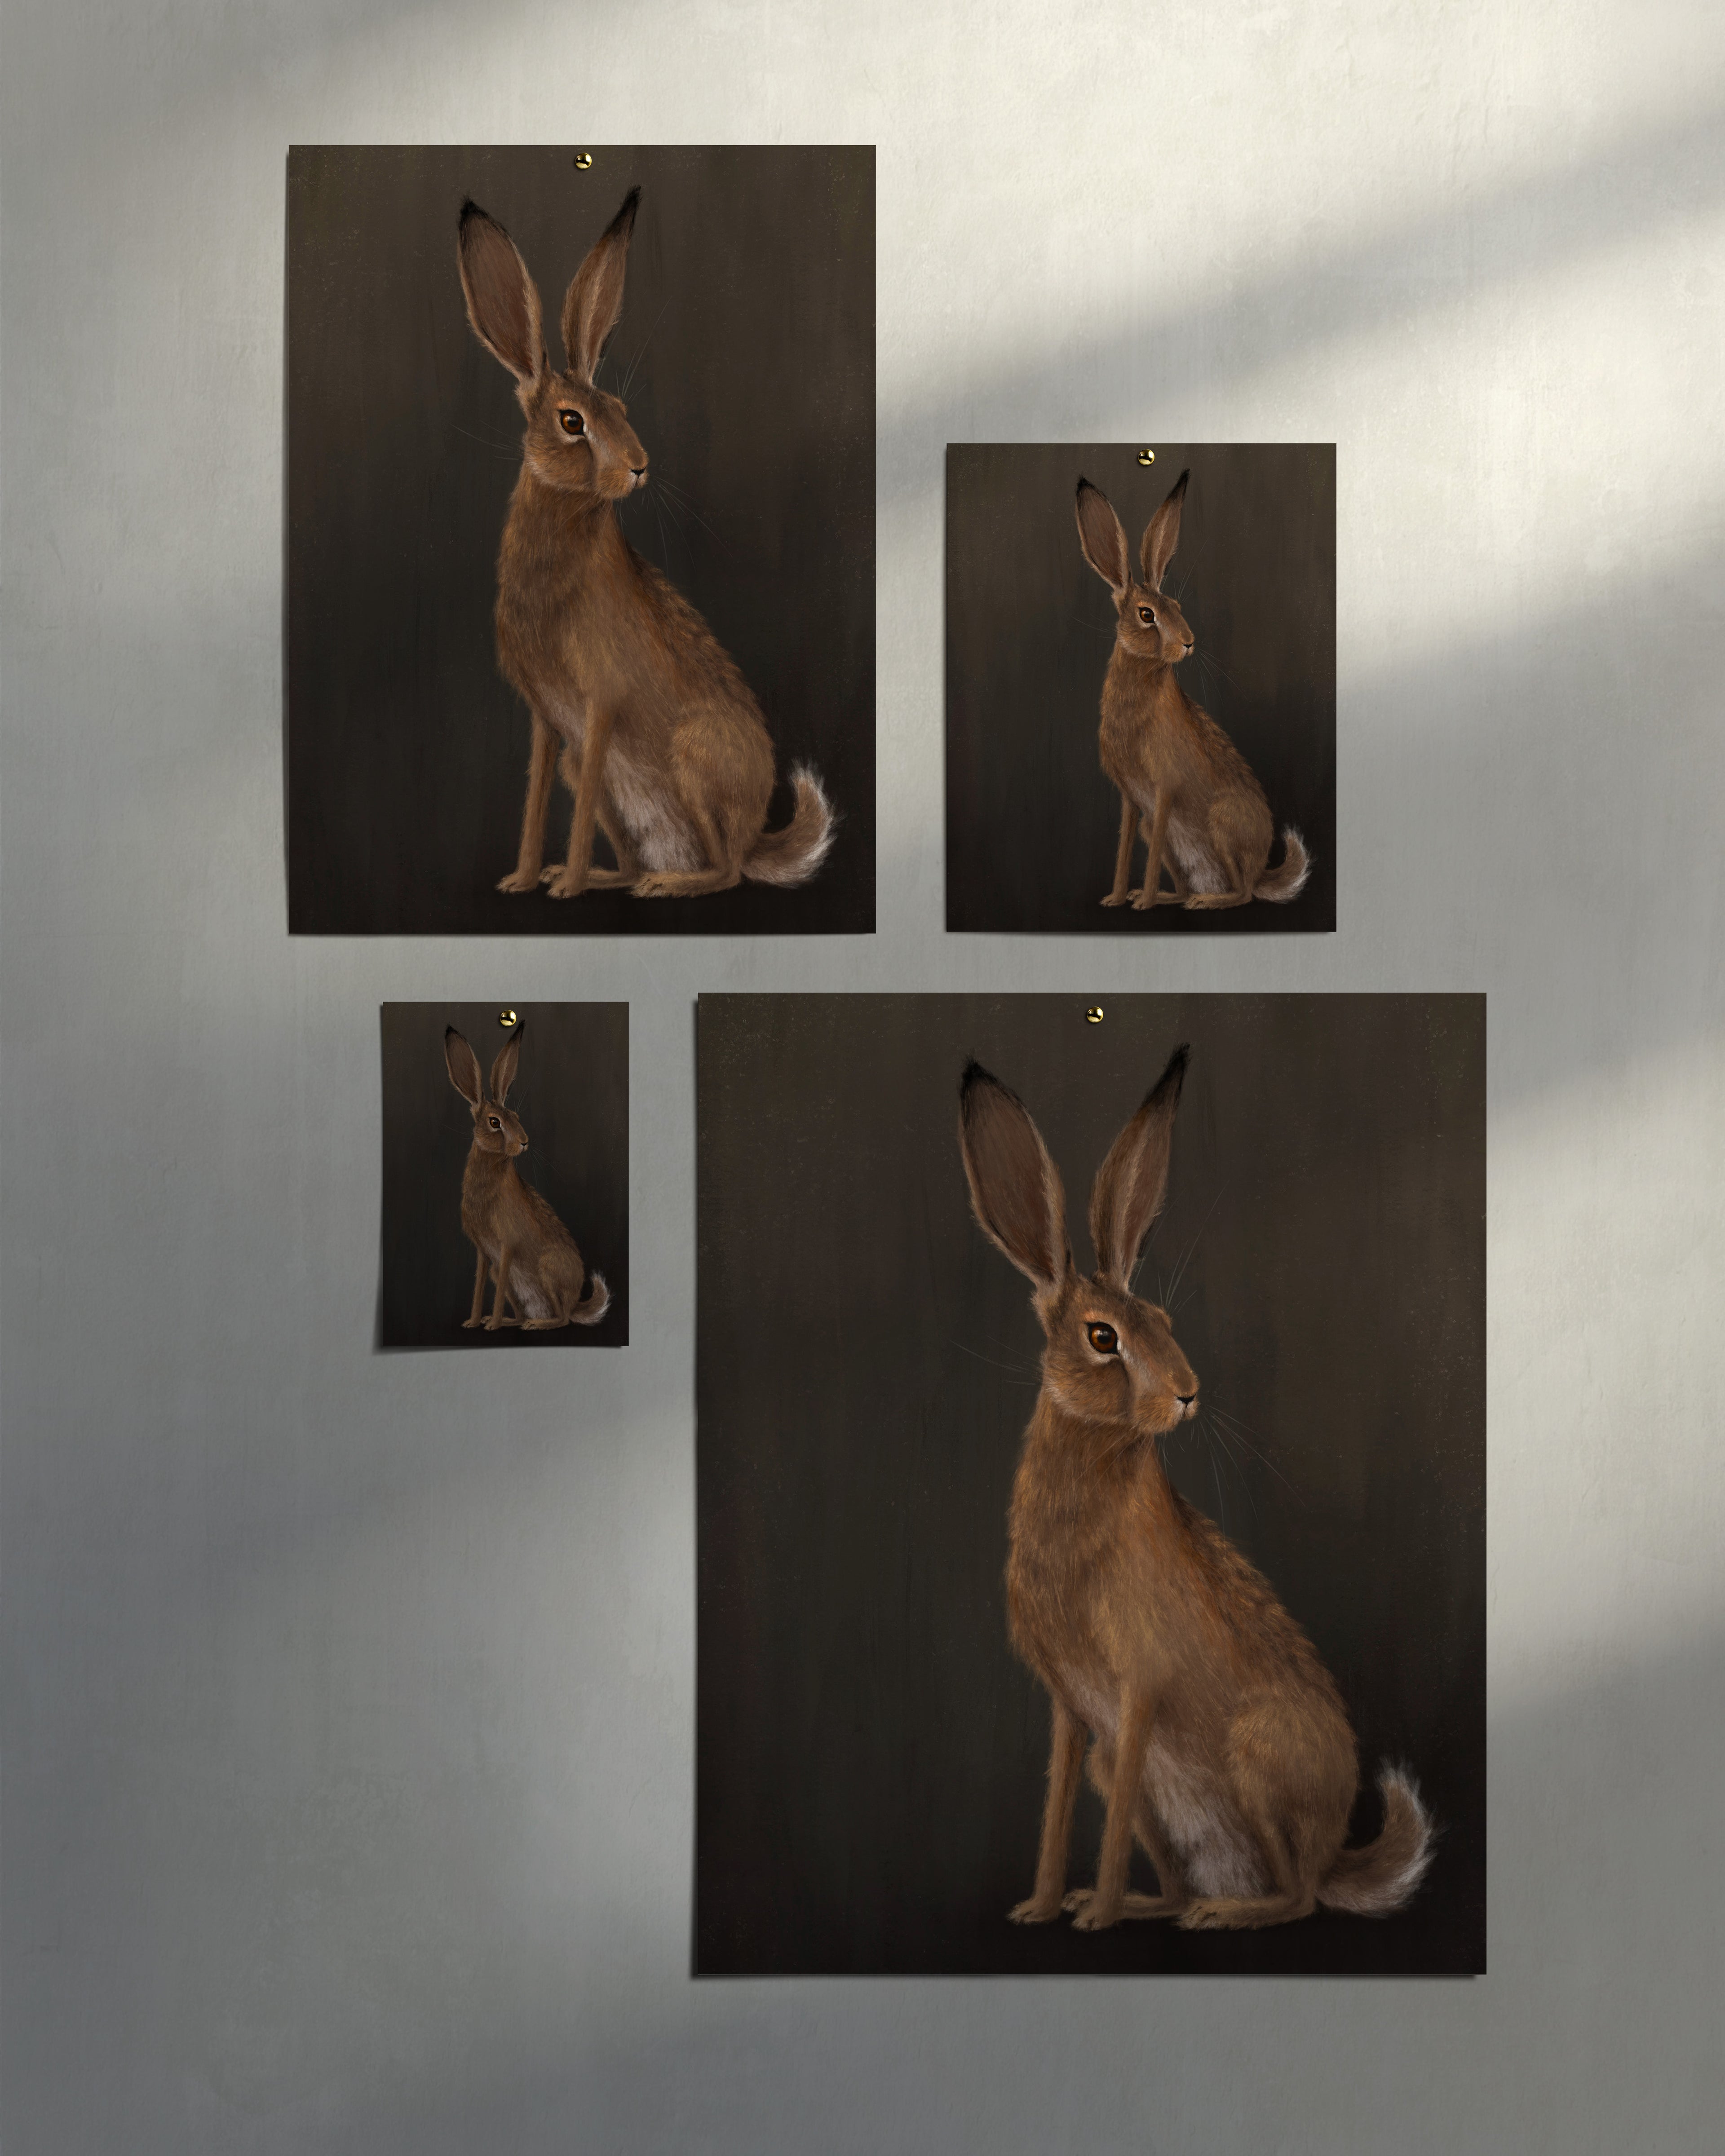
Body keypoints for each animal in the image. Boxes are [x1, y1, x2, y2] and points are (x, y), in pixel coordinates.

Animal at [443, 1024, 610, 1331]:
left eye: (517, 1116)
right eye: (495, 1122)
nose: (524, 1142)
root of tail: (575, 1302)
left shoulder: (507, 1245)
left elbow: (495, 1291)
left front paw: (491, 1326)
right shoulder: (485, 1254)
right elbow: (479, 1286)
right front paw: (474, 1322)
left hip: (548, 1269)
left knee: (563, 1319)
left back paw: (537, 1324)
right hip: (509, 1275)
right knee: (524, 1310)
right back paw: (513, 1321)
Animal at [456, 188, 835, 901]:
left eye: (623, 409)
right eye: (572, 421)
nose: (638, 466)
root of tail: (755, 835)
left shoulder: (600, 703)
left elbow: (573, 808)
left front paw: (564, 888)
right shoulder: (550, 723)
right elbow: (537, 798)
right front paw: (525, 879)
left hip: (694, 757)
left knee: (727, 871)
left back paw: (666, 884)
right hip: (606, 774)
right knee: (638, 849)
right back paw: (613, 877)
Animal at [957, 1046, 1433, 1931]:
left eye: (1166, 1322)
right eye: (1103, 1336)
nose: (1187, 1392)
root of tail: (1333, 1852)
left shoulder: (1139, 1688)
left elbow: (1106, 1819)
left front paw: (1092, 1919)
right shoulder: (1076, 1714)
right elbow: (1058, 1806)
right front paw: (1044, 1907)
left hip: (1257, 1757)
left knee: (1297, 1898)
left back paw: (1222, 1913)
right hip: (1143, 1776)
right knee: (1187, 1875)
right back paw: (1150, 1904)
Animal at [1075, 469, 1310, 911]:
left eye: (1178, 607)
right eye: (1147, 614)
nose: (1188, 642)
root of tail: (1261, 870)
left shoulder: (1164, 788)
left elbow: (1147, 854)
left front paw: (1142, 904)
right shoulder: (1133, 801)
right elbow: (1125, 847)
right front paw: (1118, 898)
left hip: (1223, 824)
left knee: (1243, 894)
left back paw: (1206, 901)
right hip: (1169, 833)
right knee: (1188, 880)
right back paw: (1172, 897)